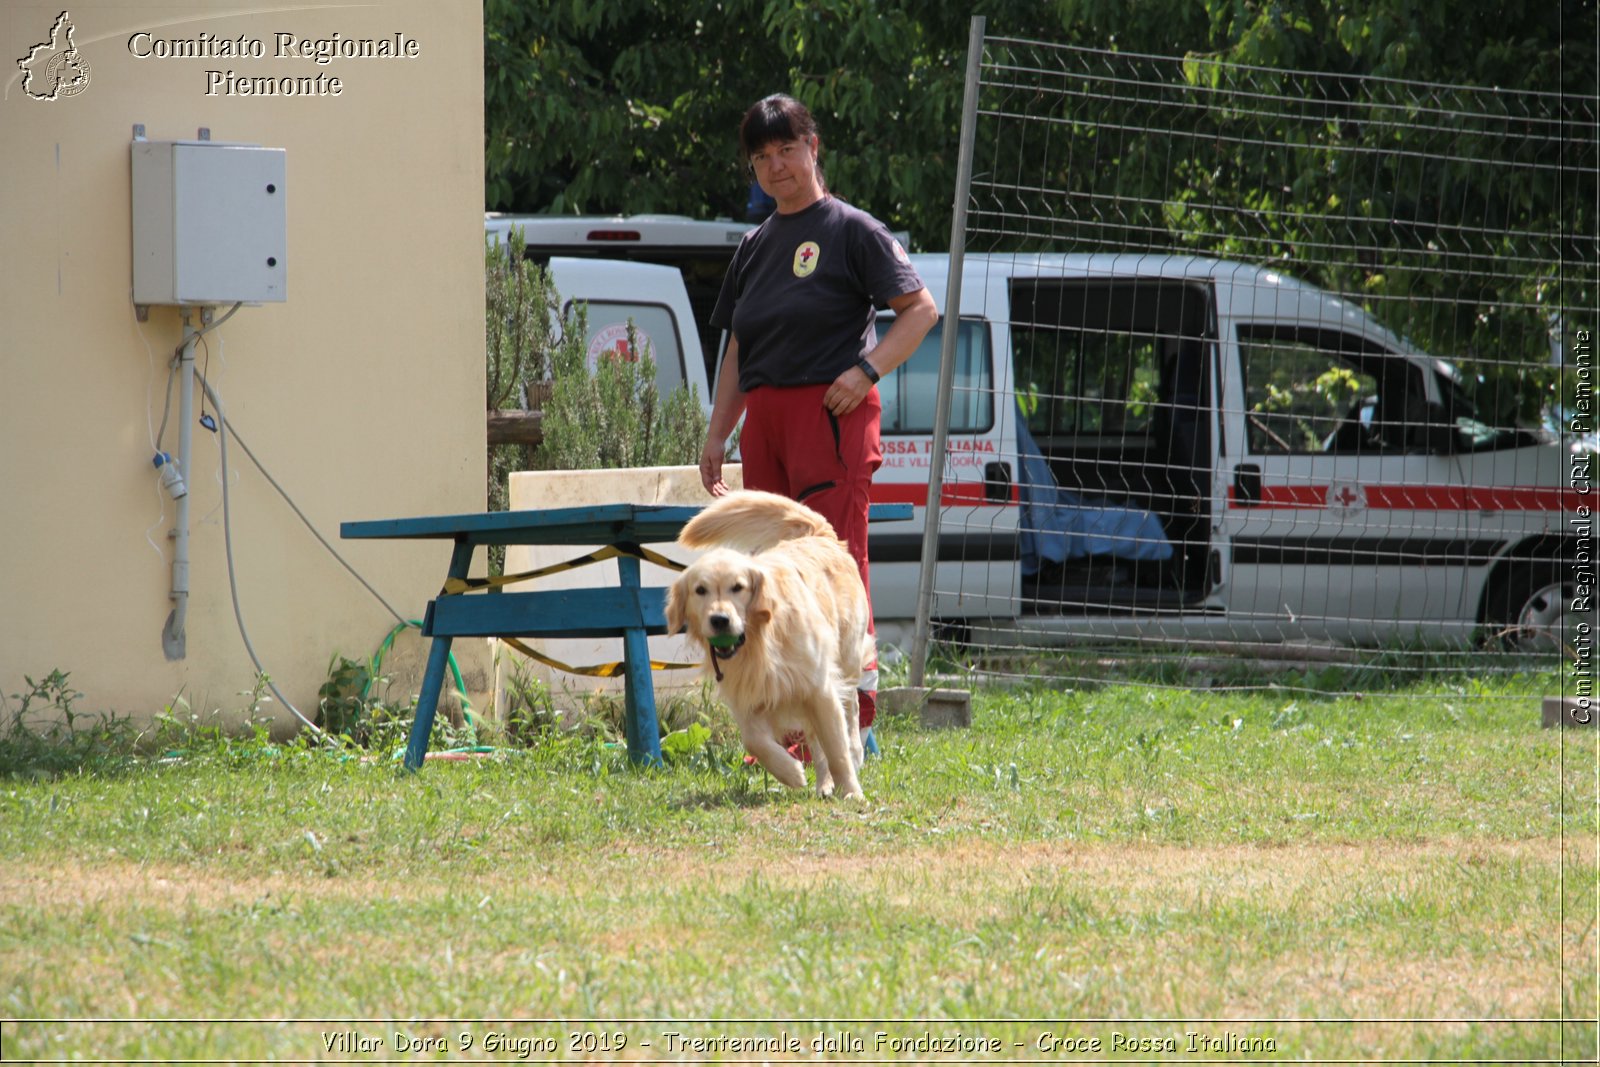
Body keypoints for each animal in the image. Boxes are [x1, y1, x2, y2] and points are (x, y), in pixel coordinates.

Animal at [662, 489, 870, 796]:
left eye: (738, 587)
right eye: (700, 590)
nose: (720, 620)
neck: (759, 643)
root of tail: (818, 534)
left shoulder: (819, 686)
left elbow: (837, 749)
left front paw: (853, 793)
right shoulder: (747, 696)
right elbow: (754, 741)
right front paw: (791, 773)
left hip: (847, 656)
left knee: (852, 706)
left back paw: (855, 752)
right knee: (815, 739)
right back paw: (823, 784)